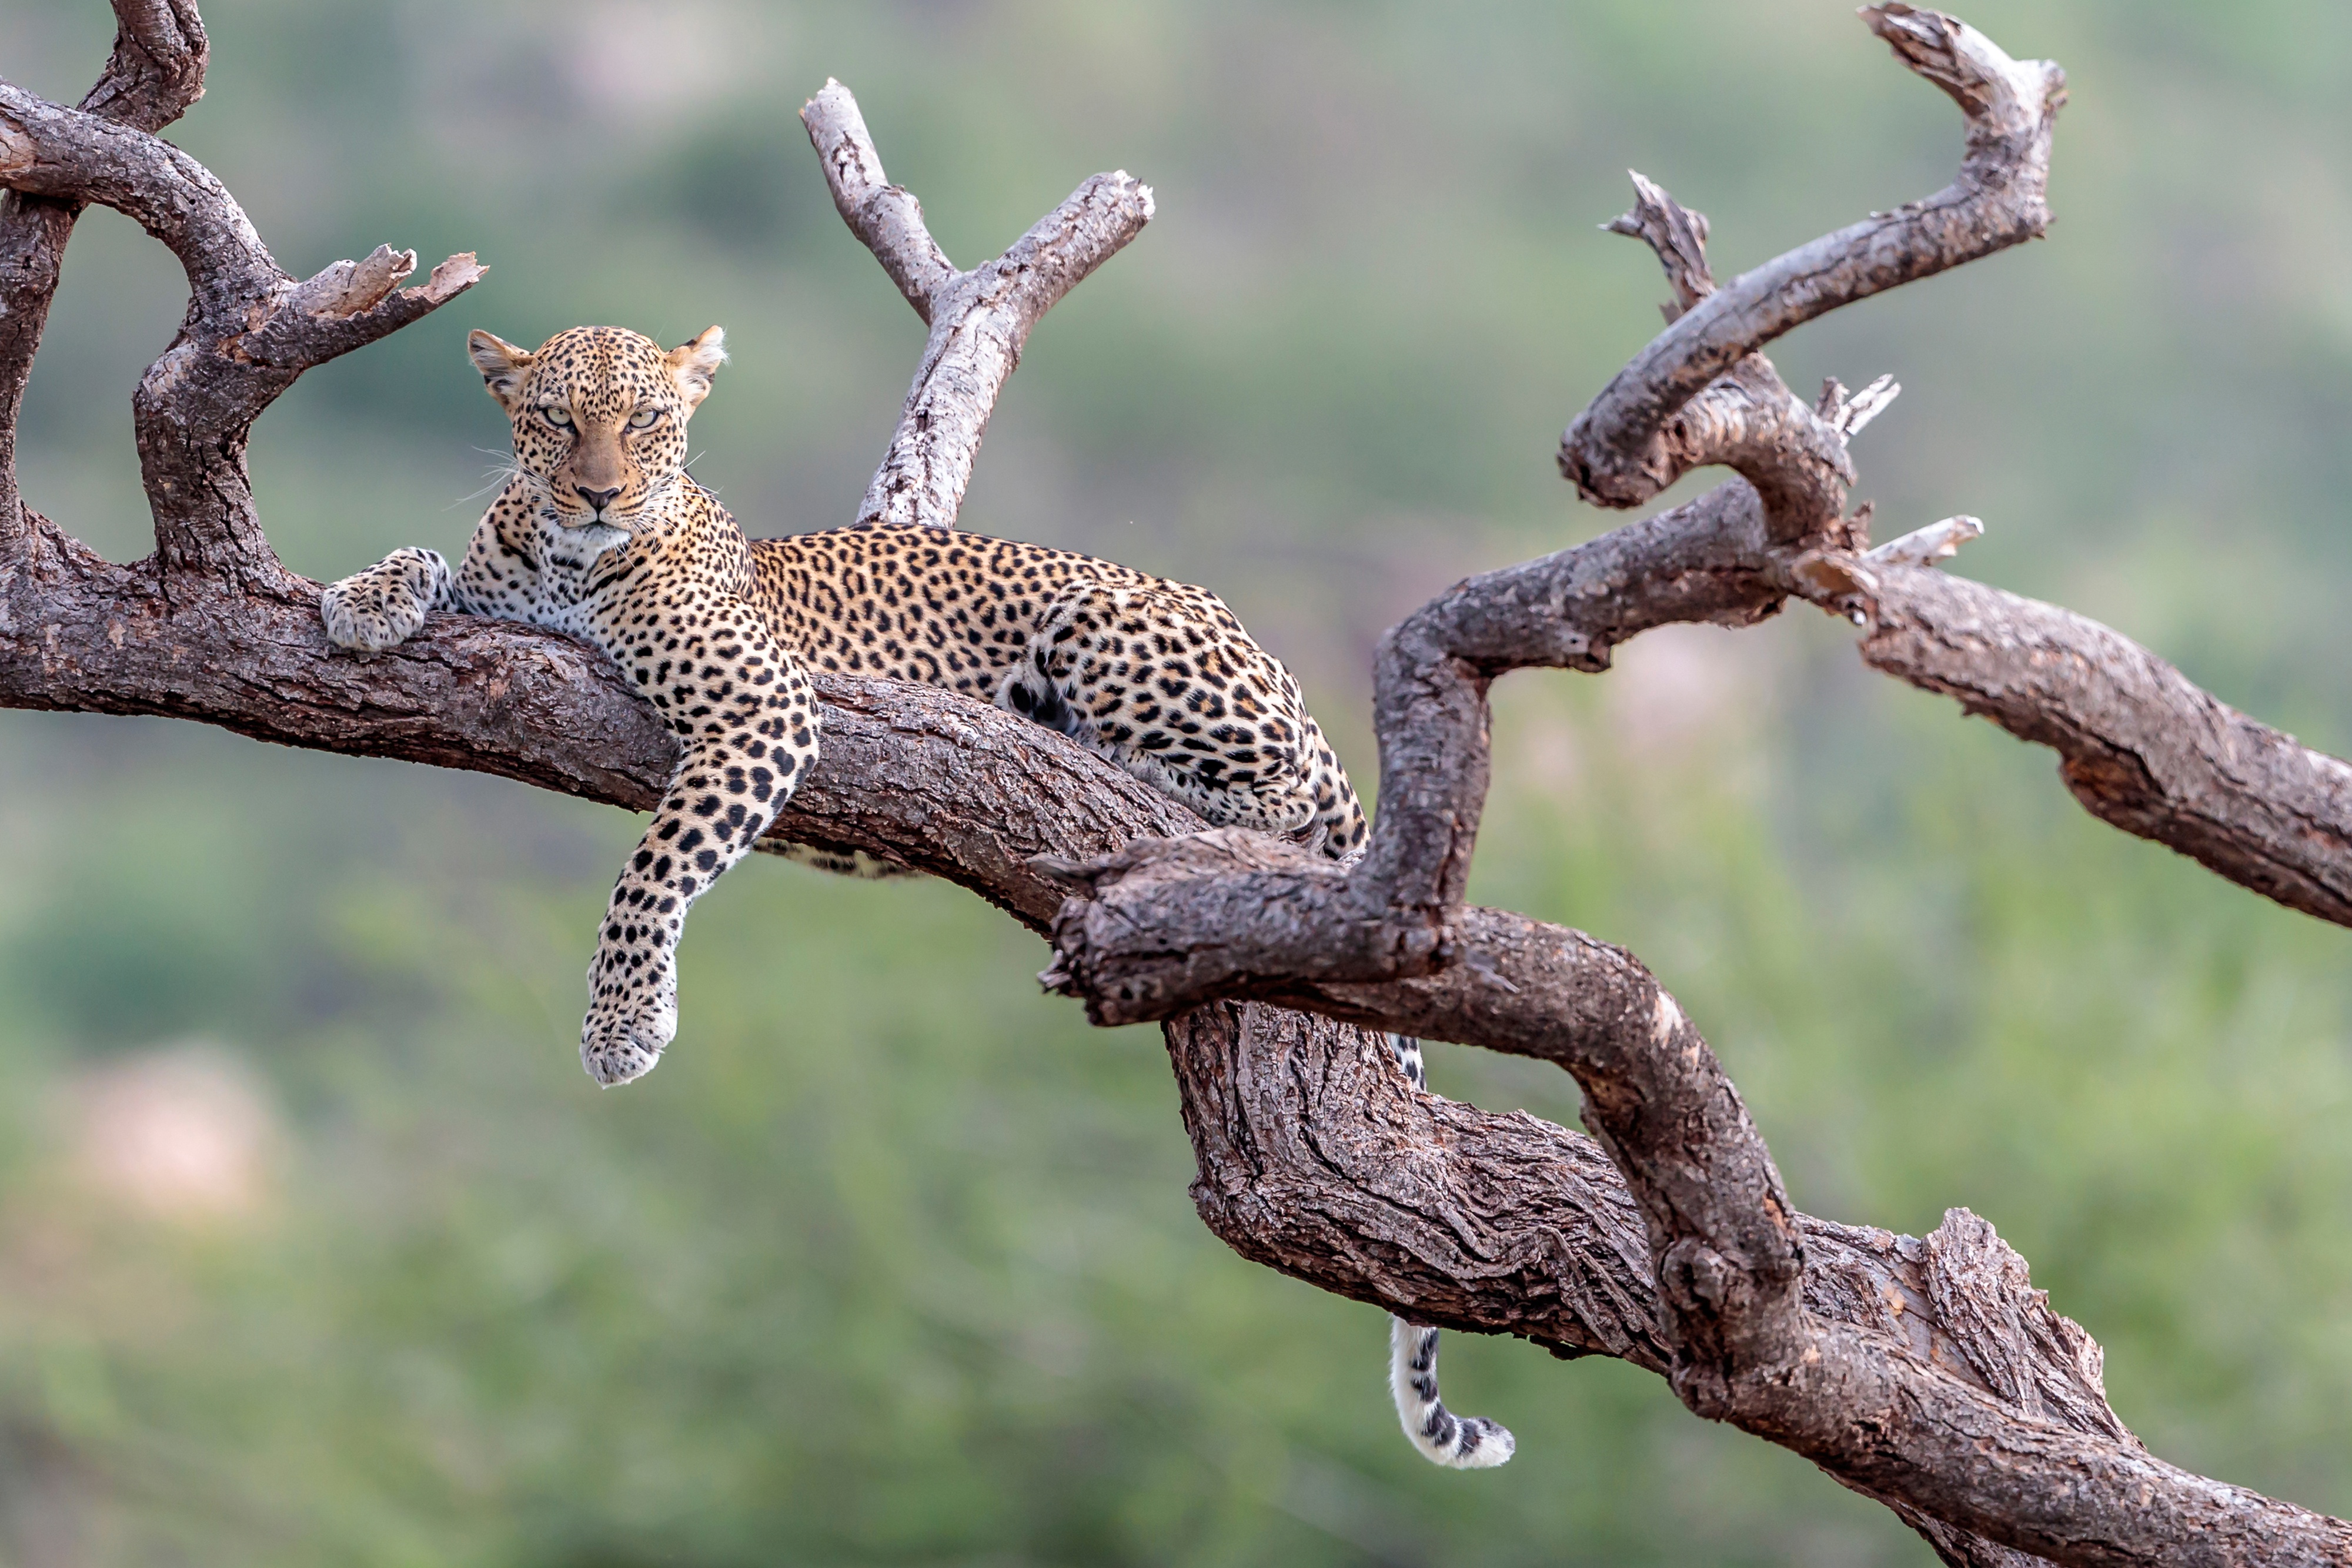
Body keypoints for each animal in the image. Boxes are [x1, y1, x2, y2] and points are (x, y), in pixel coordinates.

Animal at [318, 319, 1505, 1476]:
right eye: (559, 420)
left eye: (647, 419)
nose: (601, 493)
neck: (570, 559)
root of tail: (1260, 647)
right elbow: (429, 557)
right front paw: (364, 597)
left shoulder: (763, 706)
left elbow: (653, 867)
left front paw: (623, 1023)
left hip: (1112, 626)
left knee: (1286, 798)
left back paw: (1120, 760)